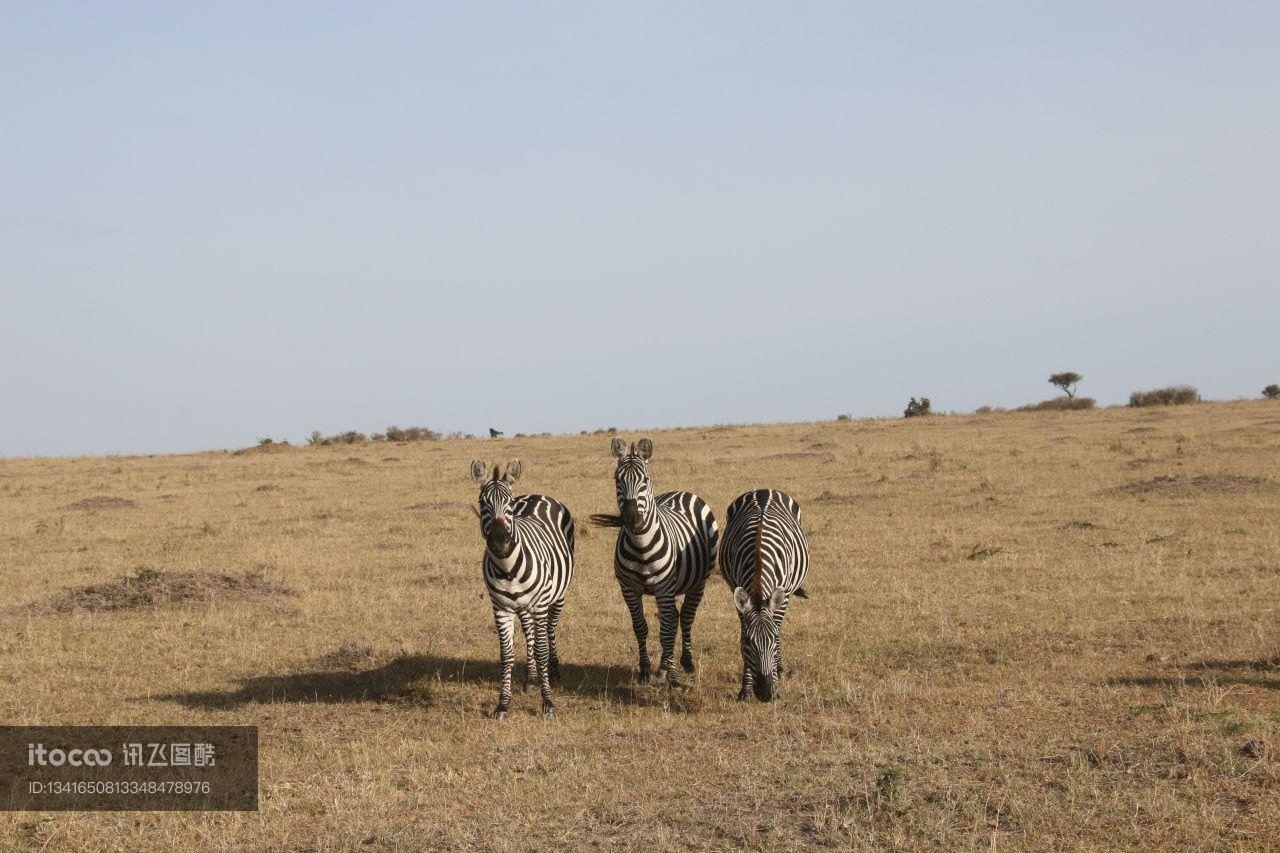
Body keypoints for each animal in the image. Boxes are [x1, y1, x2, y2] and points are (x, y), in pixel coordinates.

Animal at [471, 455, 576, 712]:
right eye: (482, 502)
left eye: (508, 503)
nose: (500, 542)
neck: (507, 569)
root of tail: (538, 495)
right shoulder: (501, 608)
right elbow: (506, 654)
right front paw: (503, 704)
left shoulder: (540, 604)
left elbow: (541, 650)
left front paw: (548, 701)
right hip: (524, 605)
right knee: (529, 631)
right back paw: (530, 678)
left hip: (557, 596)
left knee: (549, 630)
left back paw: (554, 671)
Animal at [591, 438, 721, 686]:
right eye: (617, 479)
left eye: (645, 479)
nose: (631, 519)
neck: (640, 546)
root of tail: (681, 492)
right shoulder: (628, 588)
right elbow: (640, 627)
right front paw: (645, 671)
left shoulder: (664, 587)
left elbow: (667, 630)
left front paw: (673, 678)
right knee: (674, 617)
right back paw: (662, 665)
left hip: (699, 582)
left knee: (685, 617)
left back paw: (686, 662)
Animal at [721, 484, 808, 696]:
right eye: (747, 641)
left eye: (774, 639)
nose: (765, 692)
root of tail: (763, 490)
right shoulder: (738, 592)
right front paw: (745, 689)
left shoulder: (783, 595)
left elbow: (777, 625)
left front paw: (776, 682)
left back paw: (780, 669)